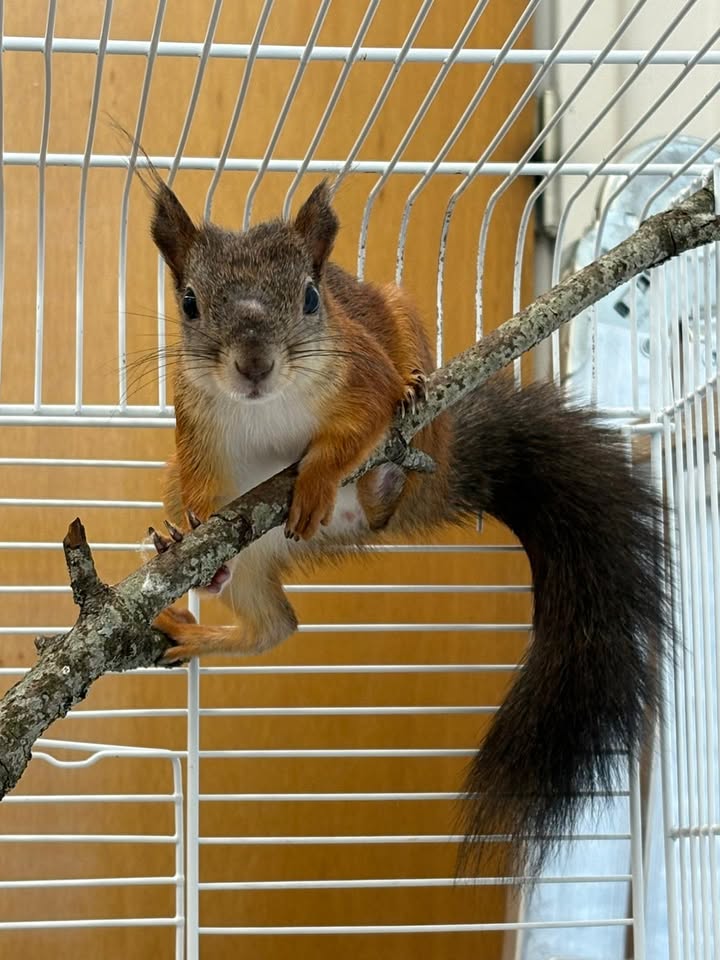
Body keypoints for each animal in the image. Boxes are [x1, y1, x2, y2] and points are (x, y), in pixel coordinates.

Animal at [144, 170, 666, 876]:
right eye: (190, 302)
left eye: (311, 295)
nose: (254, 365)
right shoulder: (194, 426)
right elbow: (202, 489)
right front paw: (194, 534)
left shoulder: (362, 376)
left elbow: (355, 430)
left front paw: (317, 478)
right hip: (229, 529)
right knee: (275, 623)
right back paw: (203, 599)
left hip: (406, 356)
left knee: (383, 474)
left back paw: (386, 470)